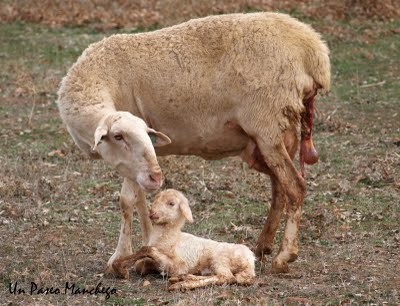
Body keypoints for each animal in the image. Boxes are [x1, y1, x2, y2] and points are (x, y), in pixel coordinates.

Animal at [57, 13, 332, 274]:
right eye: (118, 136)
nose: (157, 176)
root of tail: (314, 50)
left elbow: (127, 200)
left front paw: (119, 258)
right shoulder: (137, 166)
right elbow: (141, 200)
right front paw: (146, 248)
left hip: (267, 124)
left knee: (295, 186)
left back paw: (284, 257)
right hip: (273, 137)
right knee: (279, 188)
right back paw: (263, 245)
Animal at [112, 190, 256, 290]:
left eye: (171, 203)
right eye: (156, 199)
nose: (152, 213)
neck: (172, 239)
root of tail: (250, 260)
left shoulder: (179, 265)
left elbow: (147, 249)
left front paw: (120, 268)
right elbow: (140, 264)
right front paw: (119, 267)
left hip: (220, 258)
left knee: (226, 277)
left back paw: (181, 284)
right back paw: (183, 278)